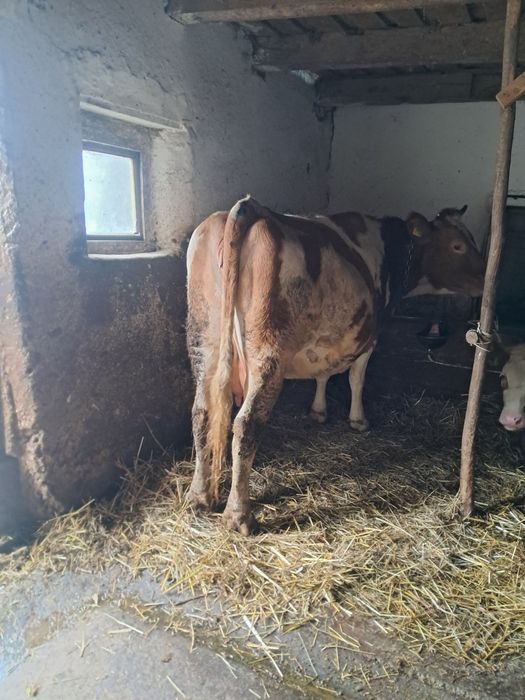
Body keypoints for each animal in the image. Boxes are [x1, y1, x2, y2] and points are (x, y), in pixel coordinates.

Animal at [186, 196, 485, 534]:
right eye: (458, 245)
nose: (485, 278)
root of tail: (249, 208)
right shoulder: (371, 334)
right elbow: (356, 378)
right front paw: (358, 420)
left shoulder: (328, 338)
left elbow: (323, 374)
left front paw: (318, 411)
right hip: (267, 353)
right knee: (246, 424)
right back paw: (239, 516)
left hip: (203, 340)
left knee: (201, 412)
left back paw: (199, 496)